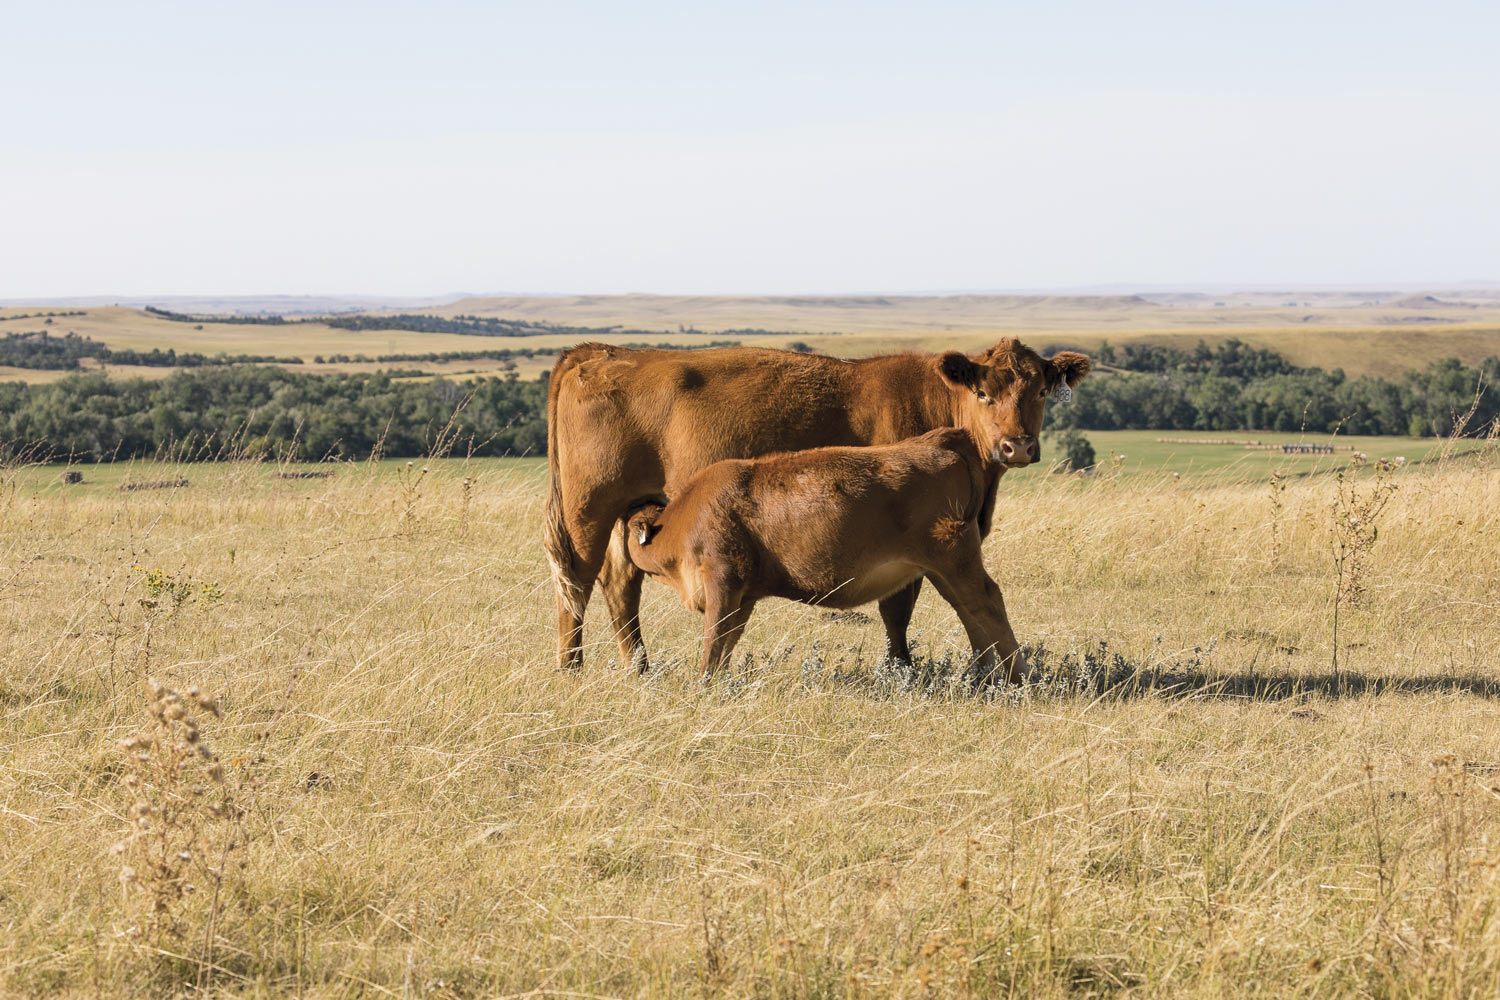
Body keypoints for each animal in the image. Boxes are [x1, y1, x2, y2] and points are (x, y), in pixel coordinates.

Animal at [623, 428, 1027, 681]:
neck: (682, 518)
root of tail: (942, 441)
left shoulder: (723, 582)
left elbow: (714, 638)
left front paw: (702, 684)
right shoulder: (744, 596)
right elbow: (727, 640)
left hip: (953, 560)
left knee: (987, 603)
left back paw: (1017, 678)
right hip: (942, 570)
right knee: (969, 610)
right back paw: (984, 677)